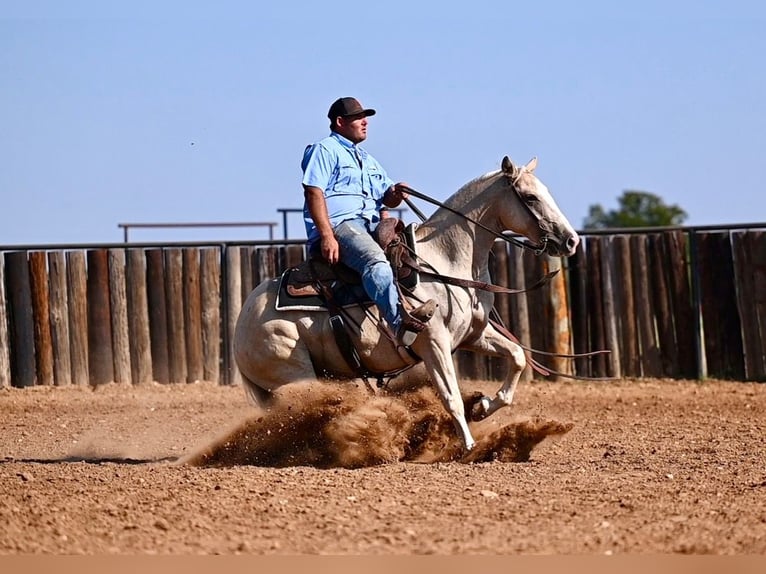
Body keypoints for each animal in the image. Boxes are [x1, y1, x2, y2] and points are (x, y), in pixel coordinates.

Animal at [237, 158, 580, 454]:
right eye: (530, 197)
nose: (571, 241)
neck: (445, 260)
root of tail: (242, 323)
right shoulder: (434, 343)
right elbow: (451, 396)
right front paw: (469, 446)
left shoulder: (473, 335)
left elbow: (518, 356)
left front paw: (483, 407)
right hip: (294, 375)